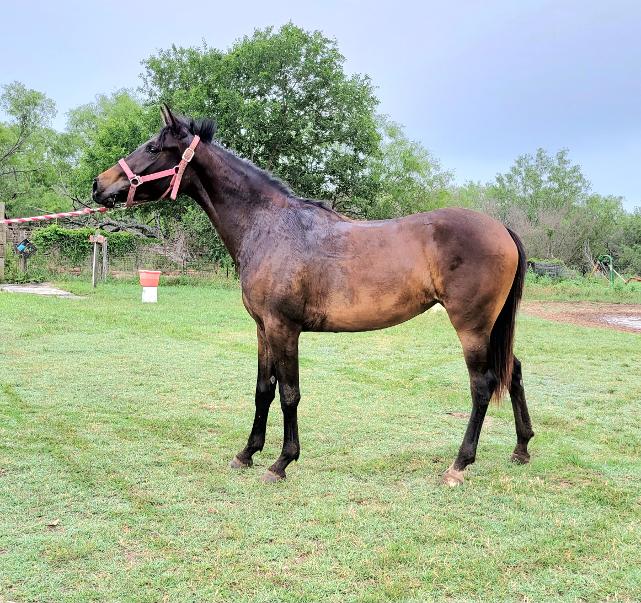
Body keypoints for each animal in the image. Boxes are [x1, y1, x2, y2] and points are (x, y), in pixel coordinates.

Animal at [93, 106, 534, 486]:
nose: (99, 185)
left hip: (471, 327)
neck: (269, 225)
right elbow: (263, 390)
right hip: (491, 327)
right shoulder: (262, 329)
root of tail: (501, 228)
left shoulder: (283, 328)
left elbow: (289, 394)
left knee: (482, 386)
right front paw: (246, 454)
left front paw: (281, 462)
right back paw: (521, 449)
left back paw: (459, 465)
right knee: (513, 372)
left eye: (153, 147)